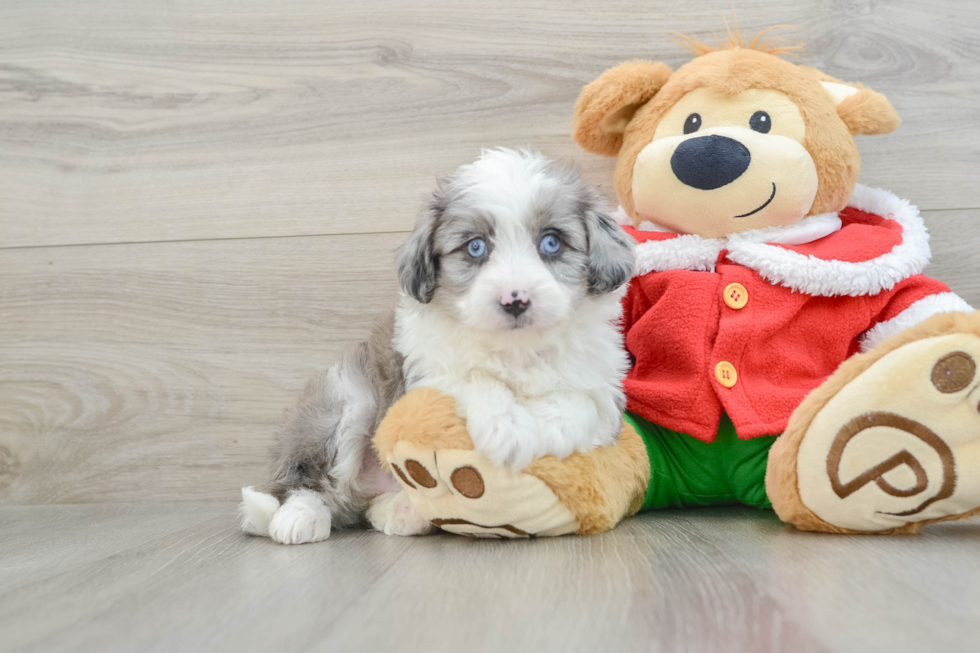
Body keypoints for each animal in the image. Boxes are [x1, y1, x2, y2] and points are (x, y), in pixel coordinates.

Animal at [241, 150, 632, 544]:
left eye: (551, 243)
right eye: (475, 247)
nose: (515, 300)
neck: (515, 349)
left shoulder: (603, 391)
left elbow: (577, 406)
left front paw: (531, 437)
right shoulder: (423, 370)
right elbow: (472, 380)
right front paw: (505, 427)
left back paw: (400, 510)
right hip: (347, 400)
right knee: (309, 482)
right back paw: (300, 516)